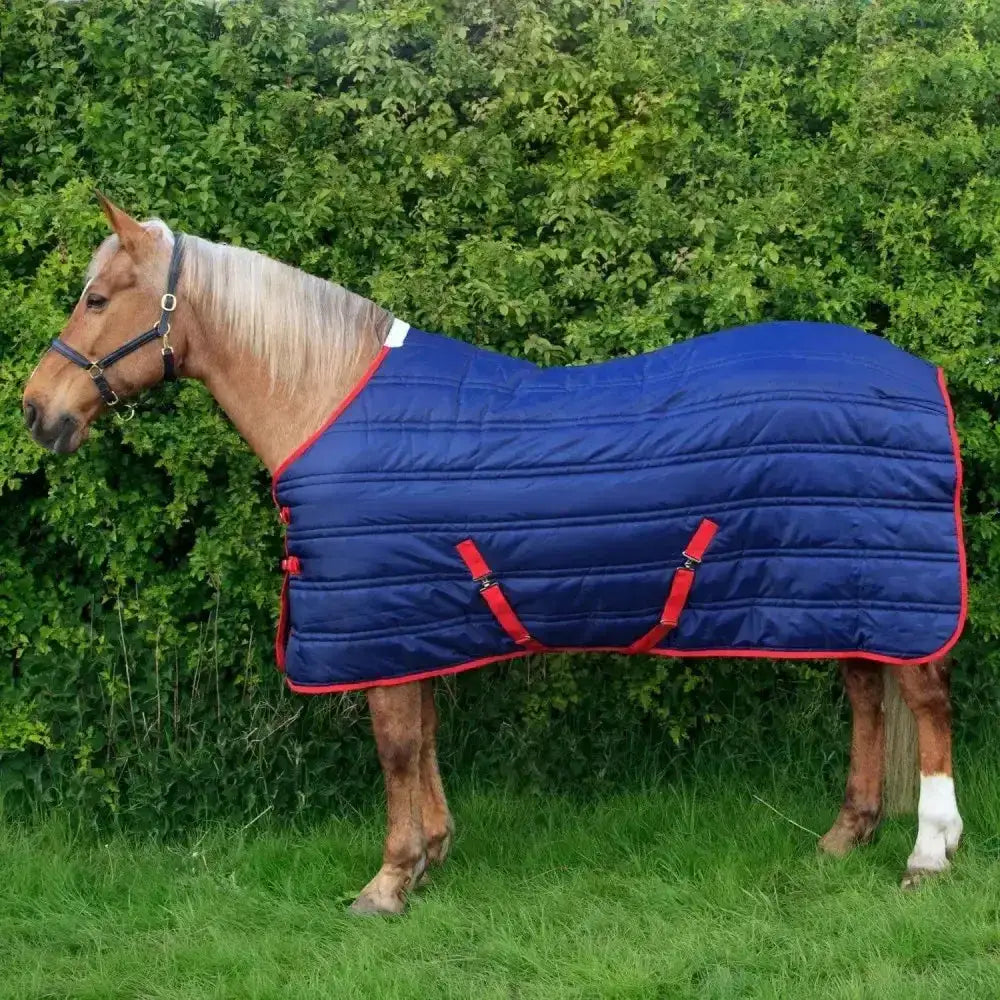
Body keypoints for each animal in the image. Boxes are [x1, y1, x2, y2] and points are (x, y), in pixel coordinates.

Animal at [21, 198, 964, 914]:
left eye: (97, 298)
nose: (37, 409)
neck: (326, 398)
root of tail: (921, 375)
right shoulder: (416, 613)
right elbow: (425, 732)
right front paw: (432, 854)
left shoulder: (380, 614)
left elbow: (398, 745)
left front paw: (389, 881)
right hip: (842, 582)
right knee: (867, 694)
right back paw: (846, 835)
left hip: (890, 585)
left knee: (924, 699)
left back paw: (928, 852)